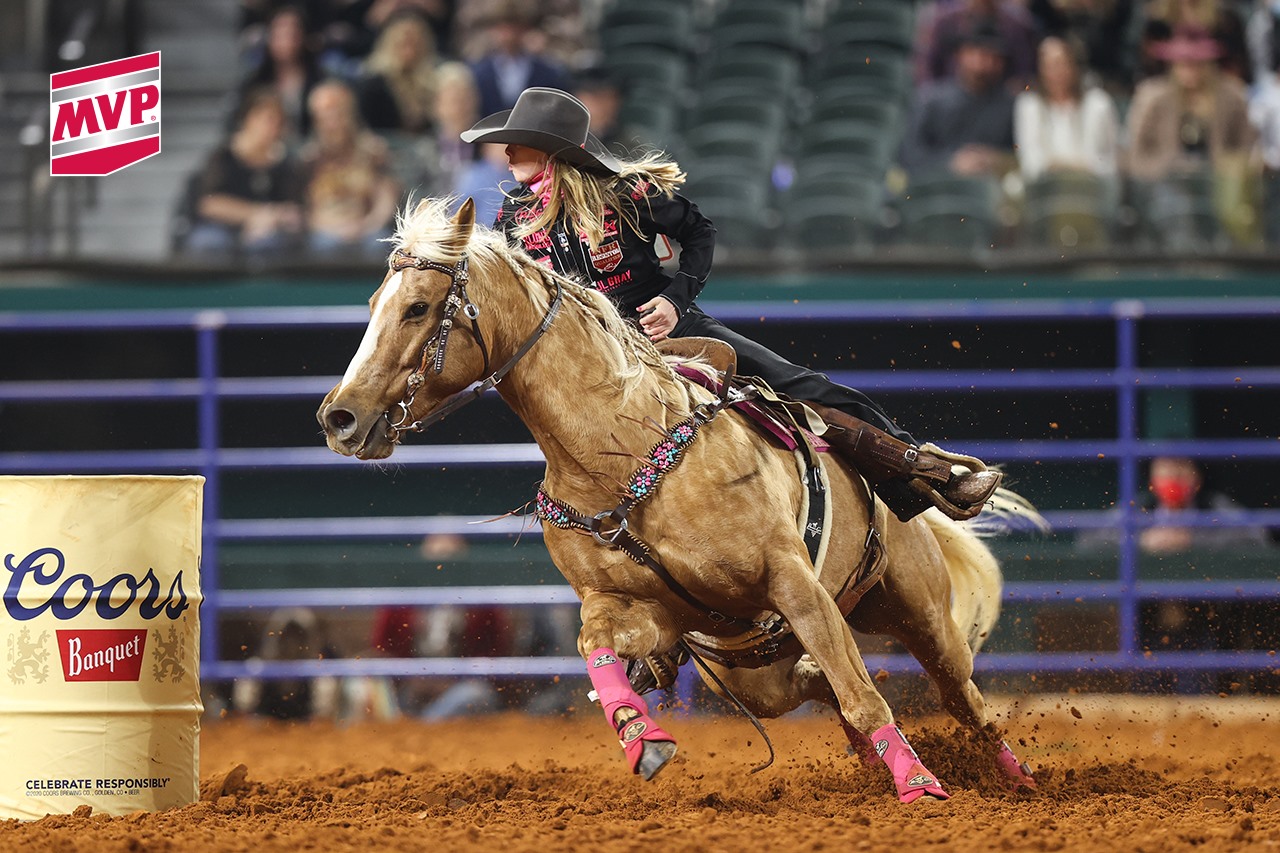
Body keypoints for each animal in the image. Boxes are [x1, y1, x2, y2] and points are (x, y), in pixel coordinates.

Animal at [318, 198, 1043, 802]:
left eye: (416, 307)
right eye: (374, 302)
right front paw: (643, 737)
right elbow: (592, 641)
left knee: (960, 701)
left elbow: (866, 697)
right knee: (820, 683)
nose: (339, 417)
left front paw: (920, 786)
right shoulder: (640, 607)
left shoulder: (794, 583)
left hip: (920, 613)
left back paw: (1017, 781)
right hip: (755, 668)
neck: (620, 452)